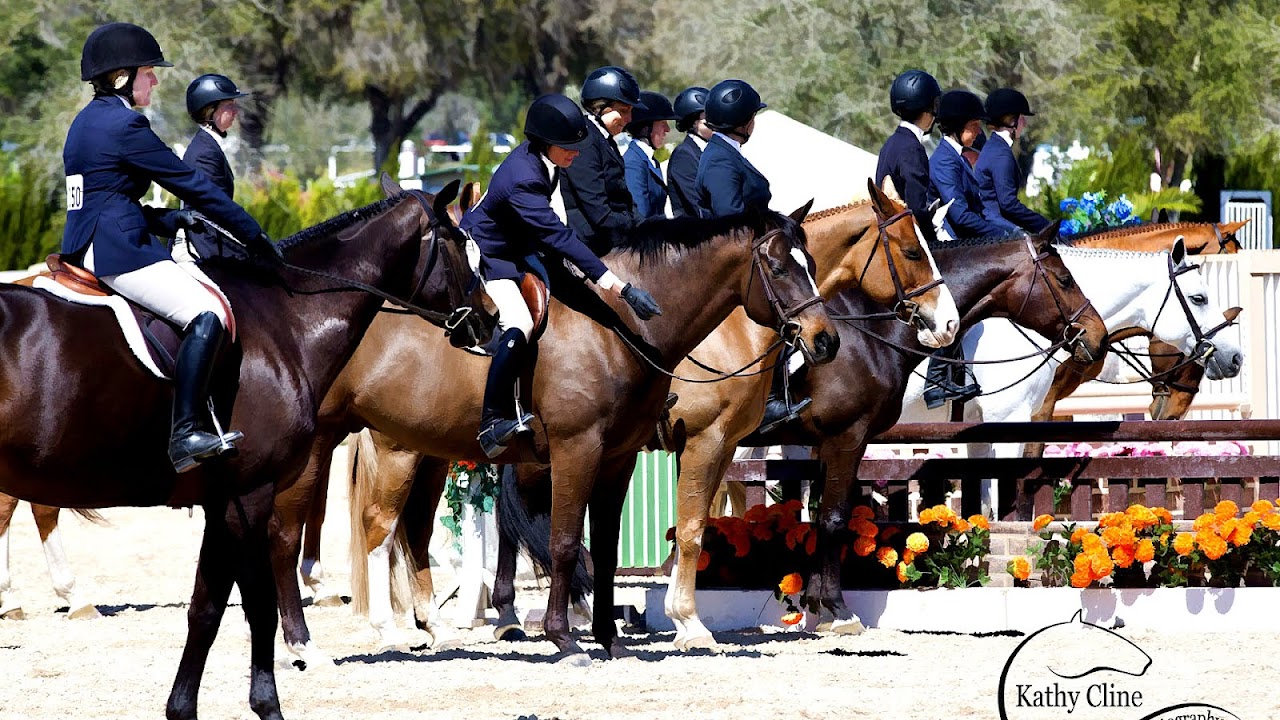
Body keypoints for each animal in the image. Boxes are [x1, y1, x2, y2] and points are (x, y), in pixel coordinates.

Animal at [0, 177, 488, 720]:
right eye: (463, 247)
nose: (489, 321)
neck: (287, 320)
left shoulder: (222, 501)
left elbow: (206, 608)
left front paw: (182, 709)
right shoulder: (249, 494)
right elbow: (258, 605)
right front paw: (268, 703)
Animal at [274, 200, 844, 664]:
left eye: (813, 266)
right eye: (778, 267)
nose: (826, 341)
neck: (619, 324)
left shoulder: (620, 456)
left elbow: (608, 545)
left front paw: (608, 636)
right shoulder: (597, 447)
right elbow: (577, 539)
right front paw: (571, 637)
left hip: (423, 448)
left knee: (409, 529)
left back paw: (429, 627)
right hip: (373, 449)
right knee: (364, 527)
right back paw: (358, 633)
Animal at [661, 223, 1111, 648]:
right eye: (1064, 279)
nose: (1097, 336)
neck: (867, 334)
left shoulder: (826, 441)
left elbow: (819, 516)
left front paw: (817, 606)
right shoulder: (848, 437)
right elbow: (833, 519)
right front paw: (837, 611)